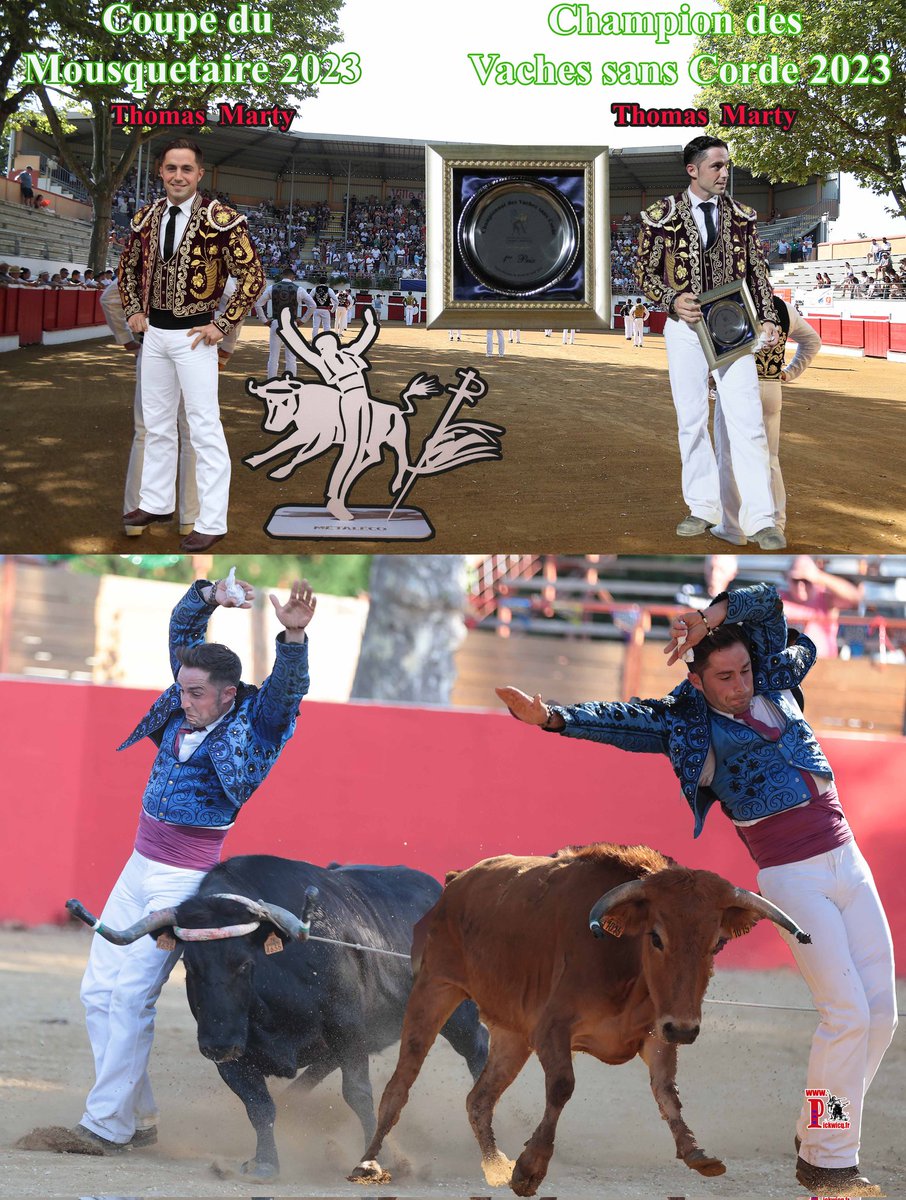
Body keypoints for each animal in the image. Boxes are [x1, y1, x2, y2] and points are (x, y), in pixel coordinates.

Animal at [68, 855, 488, 1179]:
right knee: (311, 1075)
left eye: (244, 963)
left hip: (457, 1015)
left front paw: (375, 1161)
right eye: (189, 964)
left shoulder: (347, 1030)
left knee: (478, 1048)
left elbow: (358, 1093)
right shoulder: (234, 1058)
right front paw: (265, 1163)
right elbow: (260, 1106)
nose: (218, 1043)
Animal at [349, 842, 811, 1196]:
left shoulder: (655, 1033)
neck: (623, 958)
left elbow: (666, 1091)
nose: (685, 1028)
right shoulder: (551, 1028)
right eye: (656, 937)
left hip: (510, 1034)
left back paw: (496, 1166)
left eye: (717, 943)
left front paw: (696, 1151)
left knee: (479, 1099)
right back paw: (369, 1164)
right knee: (399, 1085)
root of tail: (456, 881)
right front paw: (530, 1168)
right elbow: (562, 1086)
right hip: (435, 990)